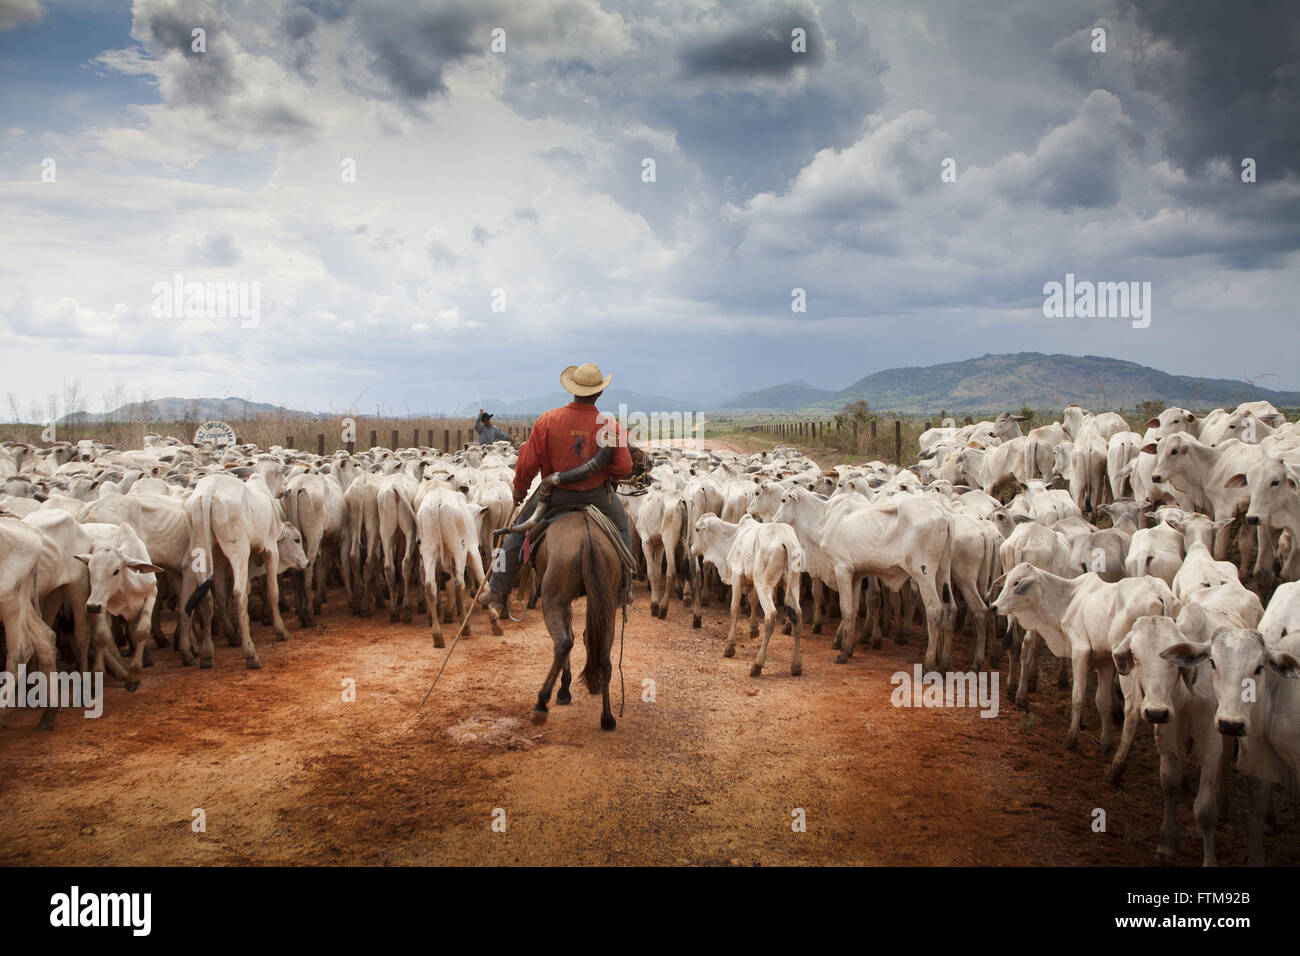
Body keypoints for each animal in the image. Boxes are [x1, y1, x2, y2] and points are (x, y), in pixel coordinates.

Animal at [533, 512, 624, 728]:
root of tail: (589, 541)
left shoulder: (563, 602)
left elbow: (571, 638)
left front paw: (564, 690)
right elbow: (585, 637)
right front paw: (592, 683)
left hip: (553, 599)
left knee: (563, 644)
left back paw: (542, 701)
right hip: (608, 602)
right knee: (604, 658)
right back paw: (607, 717)